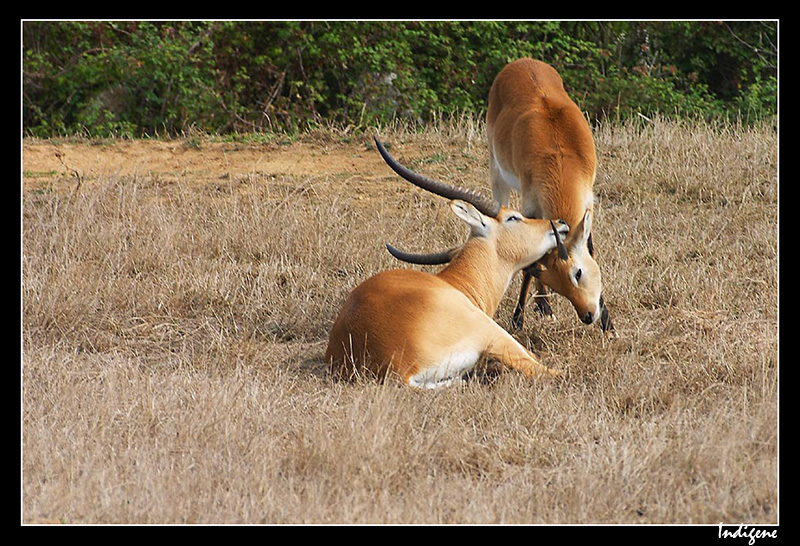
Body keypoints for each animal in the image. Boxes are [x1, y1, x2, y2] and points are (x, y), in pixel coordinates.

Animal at [324, 139, 568, 386]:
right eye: (513, 217)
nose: (560, 223)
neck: (455, 283)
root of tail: (398, 369)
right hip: (490, 332)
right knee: (542, 369)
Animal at [384, 60, 616, 340]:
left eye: (578, 272)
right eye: (560, 281)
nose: (587, 315)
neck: (560, 153)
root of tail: (522, 62)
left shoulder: (588, 197)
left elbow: (589, 247)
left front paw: (609, 326)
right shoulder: (530, 202)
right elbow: (529, 264)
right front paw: (519, 319)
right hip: (497, 175)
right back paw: (543, 307)